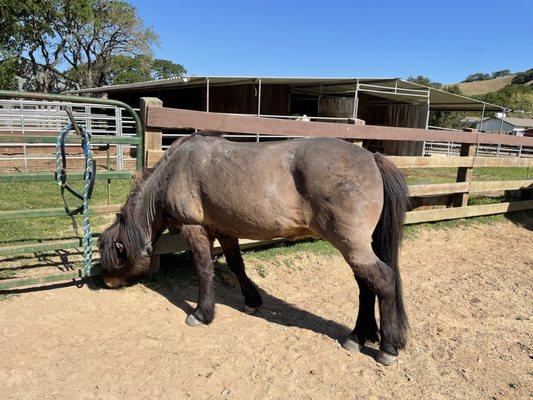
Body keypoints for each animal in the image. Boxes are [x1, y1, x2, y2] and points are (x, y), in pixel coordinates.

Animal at [98, 131, 408, 366]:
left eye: (115, 259)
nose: (106, 283)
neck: (175, 169)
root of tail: (371, 158)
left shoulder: (194, 228)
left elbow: (203, 270)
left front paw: (201, 313)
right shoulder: (225, 231)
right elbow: (237, 265)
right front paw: (252, 300)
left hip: (351, 244)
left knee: (383, 281)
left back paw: (387, 347)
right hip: (355, 247)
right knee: (365, 285)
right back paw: (357, 336)